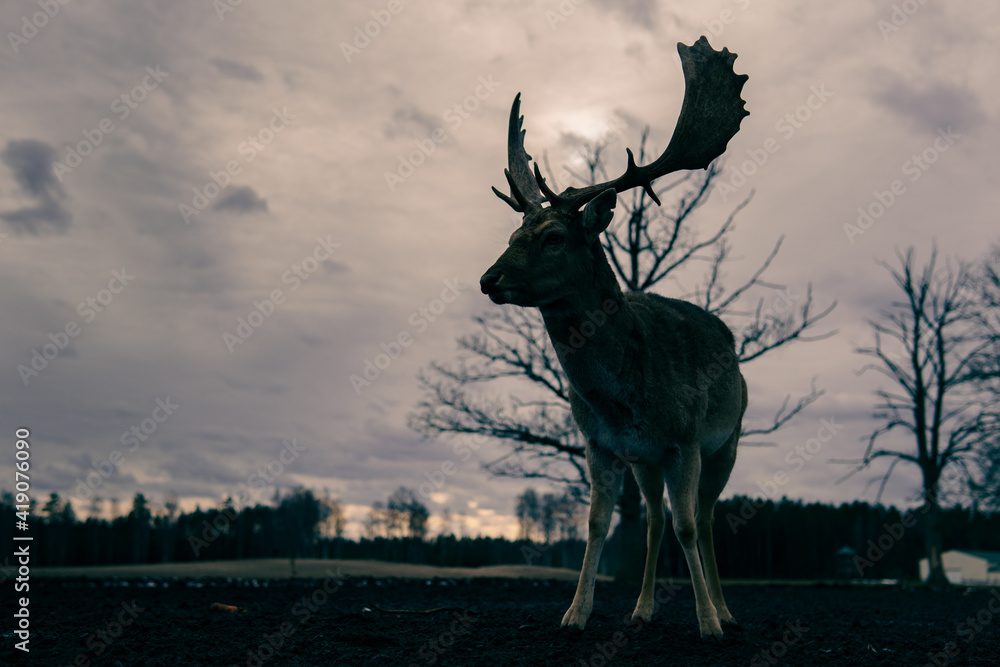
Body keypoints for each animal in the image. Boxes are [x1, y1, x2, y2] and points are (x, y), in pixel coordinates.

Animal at [479, 36, 749, 639]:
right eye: (511, 233)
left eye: (555, 237)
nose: (489, 279)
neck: (623, 397)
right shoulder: (600, 443)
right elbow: (598, 524)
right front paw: (574, 614)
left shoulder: (685, 438)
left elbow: (689, 527)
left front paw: (708, 625)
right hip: (646, 464)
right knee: (652, 521)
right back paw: (642, 609)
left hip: (729, 439)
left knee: (706, 516)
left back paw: (725, 610)